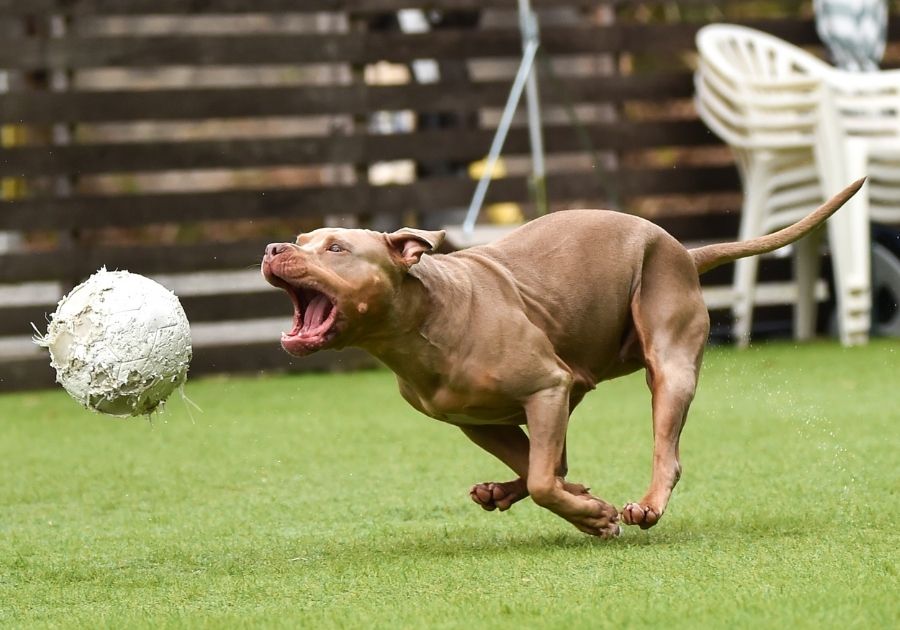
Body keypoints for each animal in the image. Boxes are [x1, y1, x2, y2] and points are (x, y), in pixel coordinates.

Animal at [260, 178, 864, 540]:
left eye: (337, 248)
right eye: (302, 237)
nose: (272, 248)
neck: (424, 320)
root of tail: (684, 251)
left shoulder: (546, 387)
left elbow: (545, 480)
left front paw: (596, 519)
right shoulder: (484, 418)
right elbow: (542, 469)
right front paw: (579, 503)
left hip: (666, 361)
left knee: (662, 450)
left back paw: (643, 505)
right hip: (576, 383)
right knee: (554, 463)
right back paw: (512, 491)